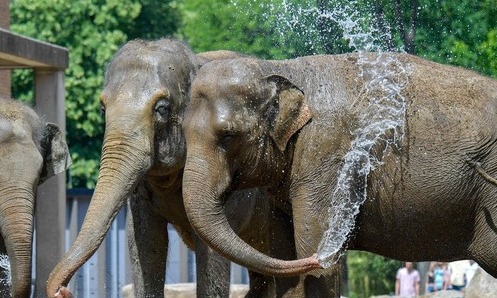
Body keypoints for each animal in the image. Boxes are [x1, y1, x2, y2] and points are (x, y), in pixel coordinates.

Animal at [182, 51, 497, 294]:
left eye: (228, 135)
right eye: (181, 130)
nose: (320, 257)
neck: (279, 67)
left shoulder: (325, 159)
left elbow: (312, 253)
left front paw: (321, 258)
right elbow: (284, 253)